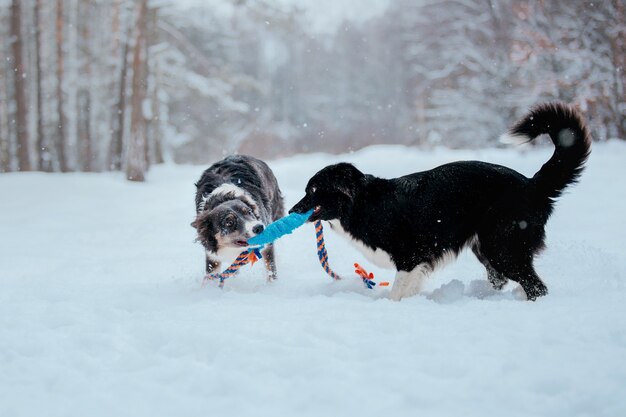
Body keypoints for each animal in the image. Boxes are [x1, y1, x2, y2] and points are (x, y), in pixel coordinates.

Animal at [288, 103, 588, 300]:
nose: (292, 210)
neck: (364, 204)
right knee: (503, 279)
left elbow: (397, 291)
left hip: (503, 246)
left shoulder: (410, 256)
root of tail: (531, 184)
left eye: (313, 190)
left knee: (535, 285)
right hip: (486, 247)